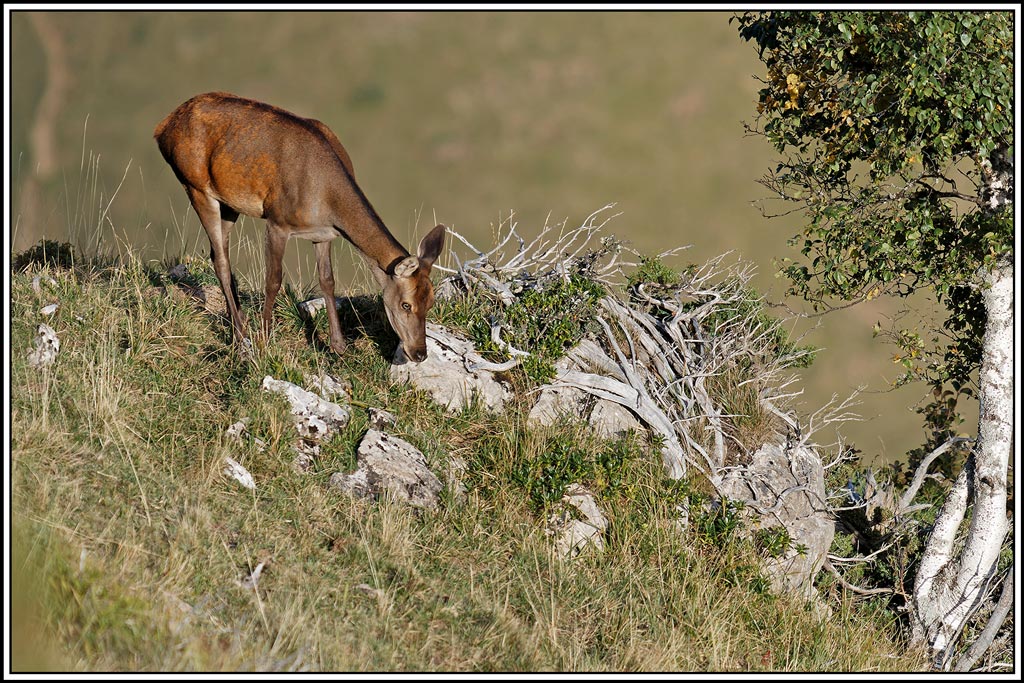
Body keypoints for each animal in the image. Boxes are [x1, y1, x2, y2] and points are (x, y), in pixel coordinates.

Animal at [154, 91, 445, 362]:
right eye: (406, 305)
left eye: (431, 301)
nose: (419, 353)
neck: (327, 197)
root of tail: (162, 127)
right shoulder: (277, 222)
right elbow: (273, 280)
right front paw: (265, 339)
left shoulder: (324, 234)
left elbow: (327, 280)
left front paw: (339, 346)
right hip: (195, 185)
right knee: (221, 260)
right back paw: (240, 335)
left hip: (229, 204)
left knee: (218, 254)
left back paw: (240, 322)